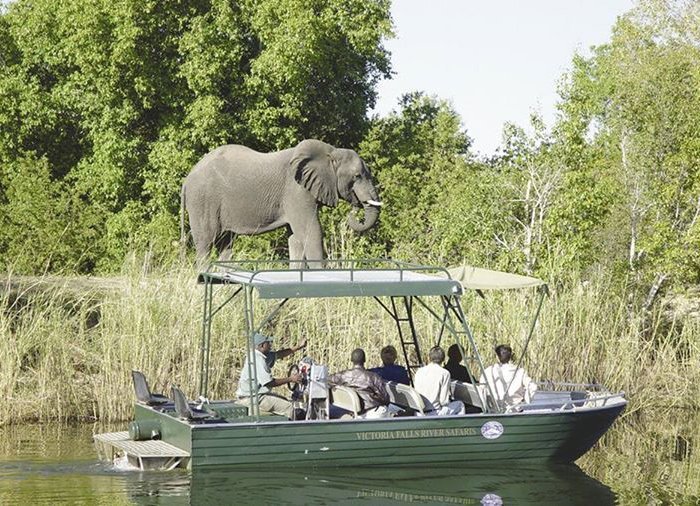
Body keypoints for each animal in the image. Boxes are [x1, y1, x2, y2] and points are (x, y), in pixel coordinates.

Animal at [178, 138, 380, 264]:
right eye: (357, 176)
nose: (356, 208)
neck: (331, 152)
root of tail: (186, 180)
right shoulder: (296, 191)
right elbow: (311, 232)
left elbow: (295, 239)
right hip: (202, 201)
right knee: (205, 243)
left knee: (225, 244)